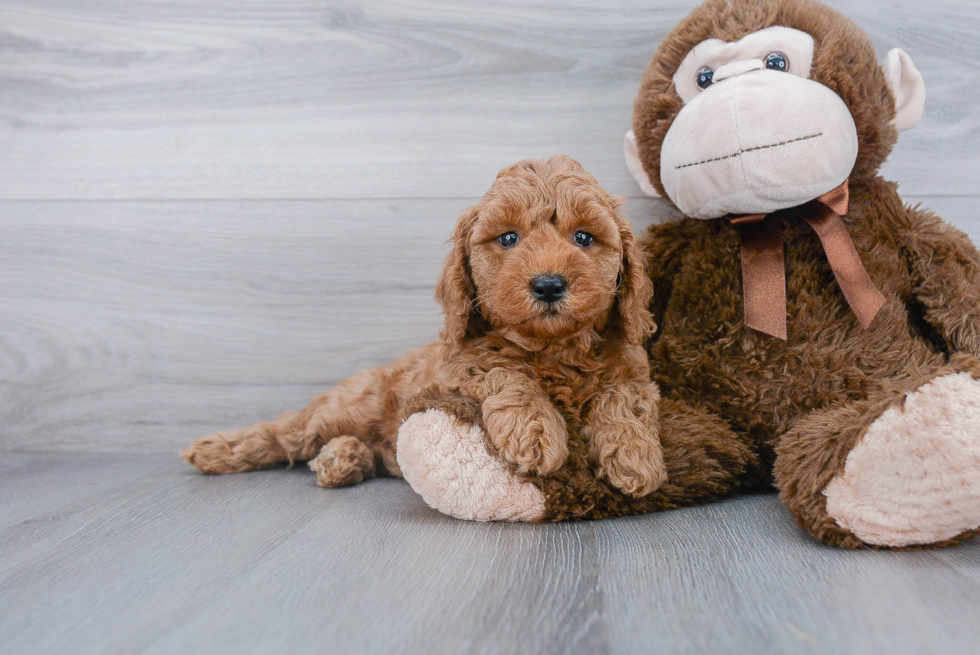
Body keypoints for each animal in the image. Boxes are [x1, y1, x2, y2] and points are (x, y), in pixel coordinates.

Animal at [184, 156, 668, 500]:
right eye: (508, 238)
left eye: (584, 237)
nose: (549, 285)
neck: (552, 347)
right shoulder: (458, 363)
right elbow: (505, 372)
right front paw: (536, 431)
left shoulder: (633, 369)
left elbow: (622, 400)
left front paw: (634, 455)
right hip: (341, 408)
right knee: (284, 433)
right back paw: (215, 450)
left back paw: (343, 459)